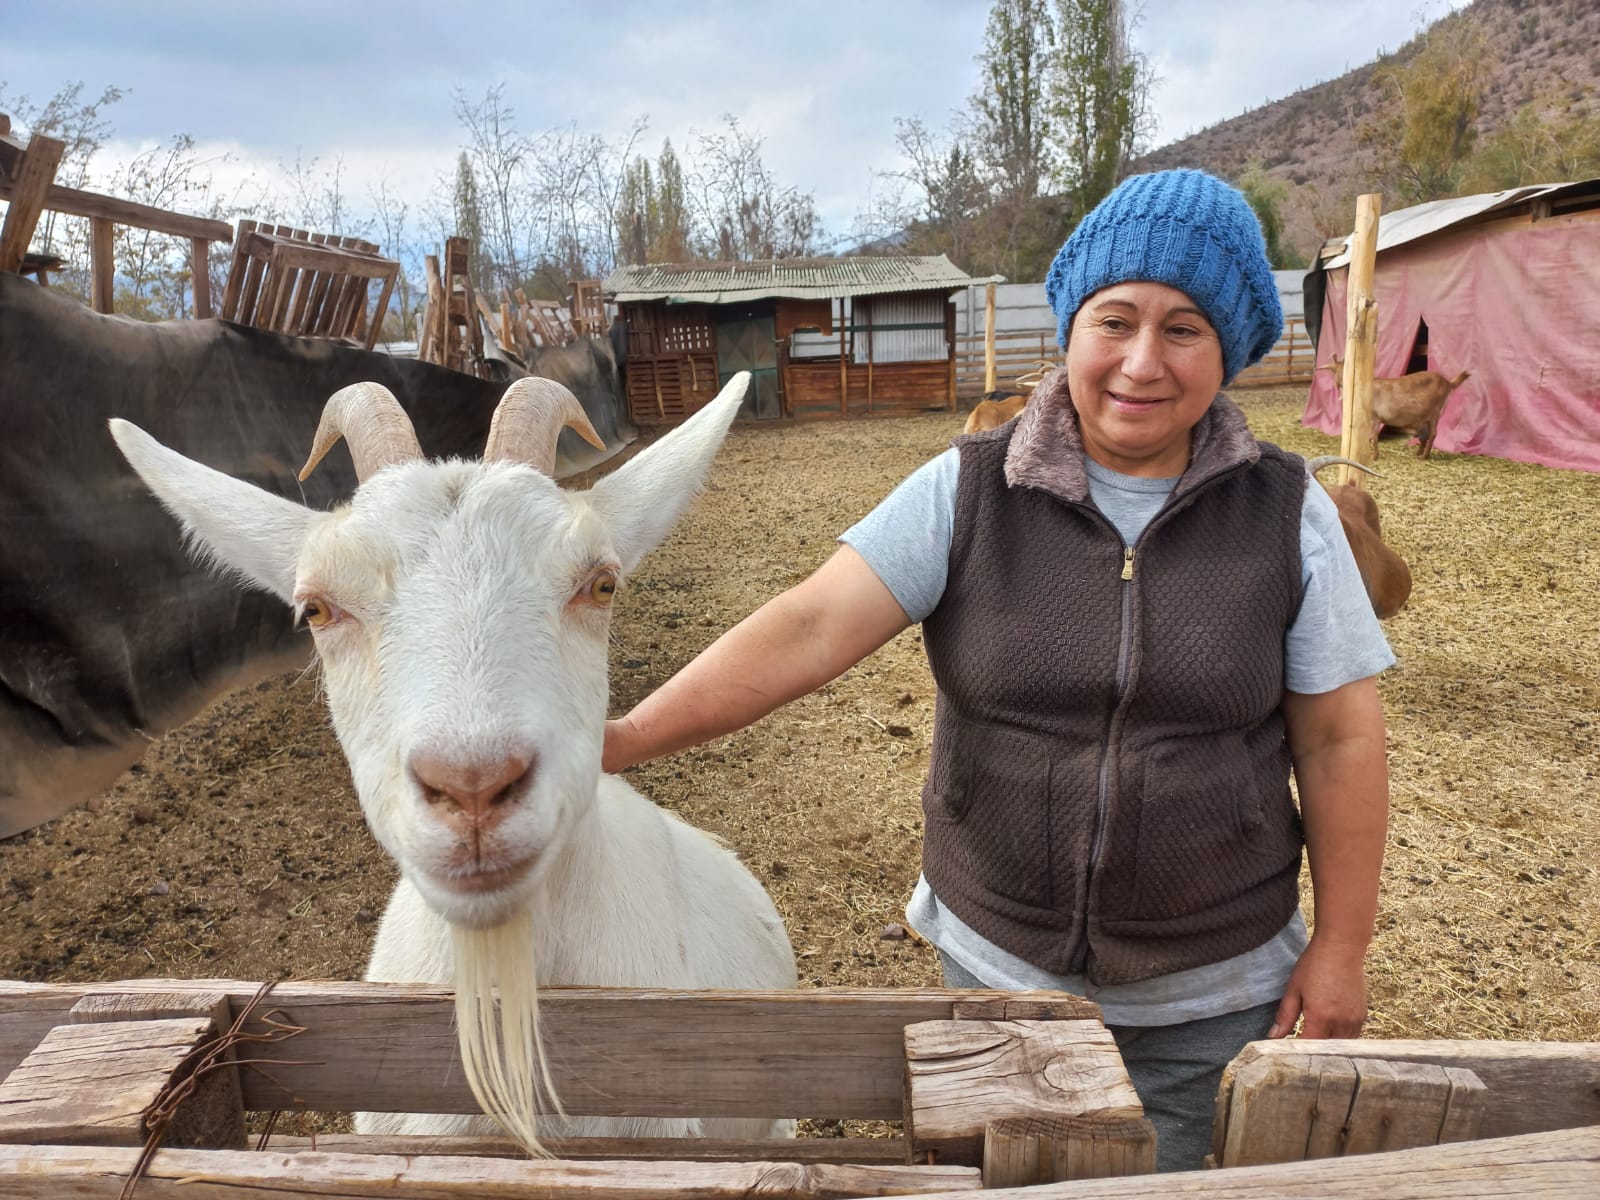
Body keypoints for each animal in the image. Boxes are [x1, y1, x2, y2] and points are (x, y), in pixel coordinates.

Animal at [1318, 356, 1465, 460]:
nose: (1337, 385)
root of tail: (1448, 383)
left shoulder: (1374, 417)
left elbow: (1373, 437)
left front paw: (1374, 457)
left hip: (1435, 412)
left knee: (1433, 433)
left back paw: (1424, 456)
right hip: (1424, 418)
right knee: (1425, 435)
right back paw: (1419, 453)